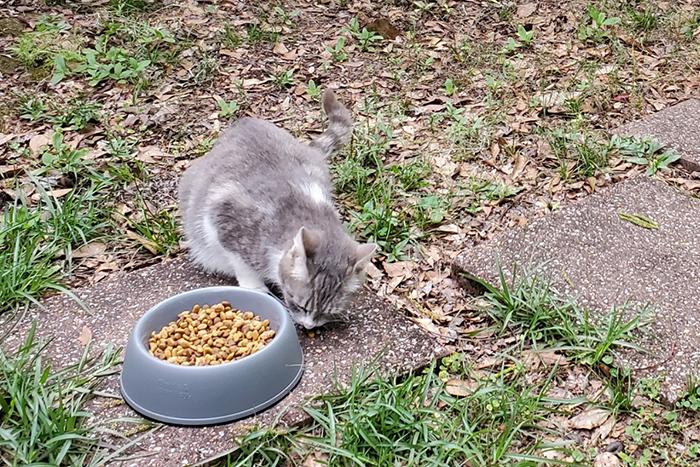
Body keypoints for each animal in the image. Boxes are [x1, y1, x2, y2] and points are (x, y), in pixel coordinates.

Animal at [179, 91, 378, 330]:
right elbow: (240, 262)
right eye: (299, 304)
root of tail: (245, 121)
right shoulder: (223, 219)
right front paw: (255, 287)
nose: (309, 326)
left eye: (327, 313)